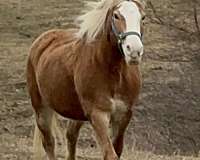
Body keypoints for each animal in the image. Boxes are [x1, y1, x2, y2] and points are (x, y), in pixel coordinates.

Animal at [26, 0, 145, 160]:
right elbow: (110, 154)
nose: (134, 51)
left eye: (143, 17)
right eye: (116, 16)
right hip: (41, 108)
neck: (114, 74)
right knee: (49, 143)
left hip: (77, 114)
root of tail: (41, 41)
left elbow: (117, 150)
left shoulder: (123, 115)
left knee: (71, 136)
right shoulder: (98, 113)